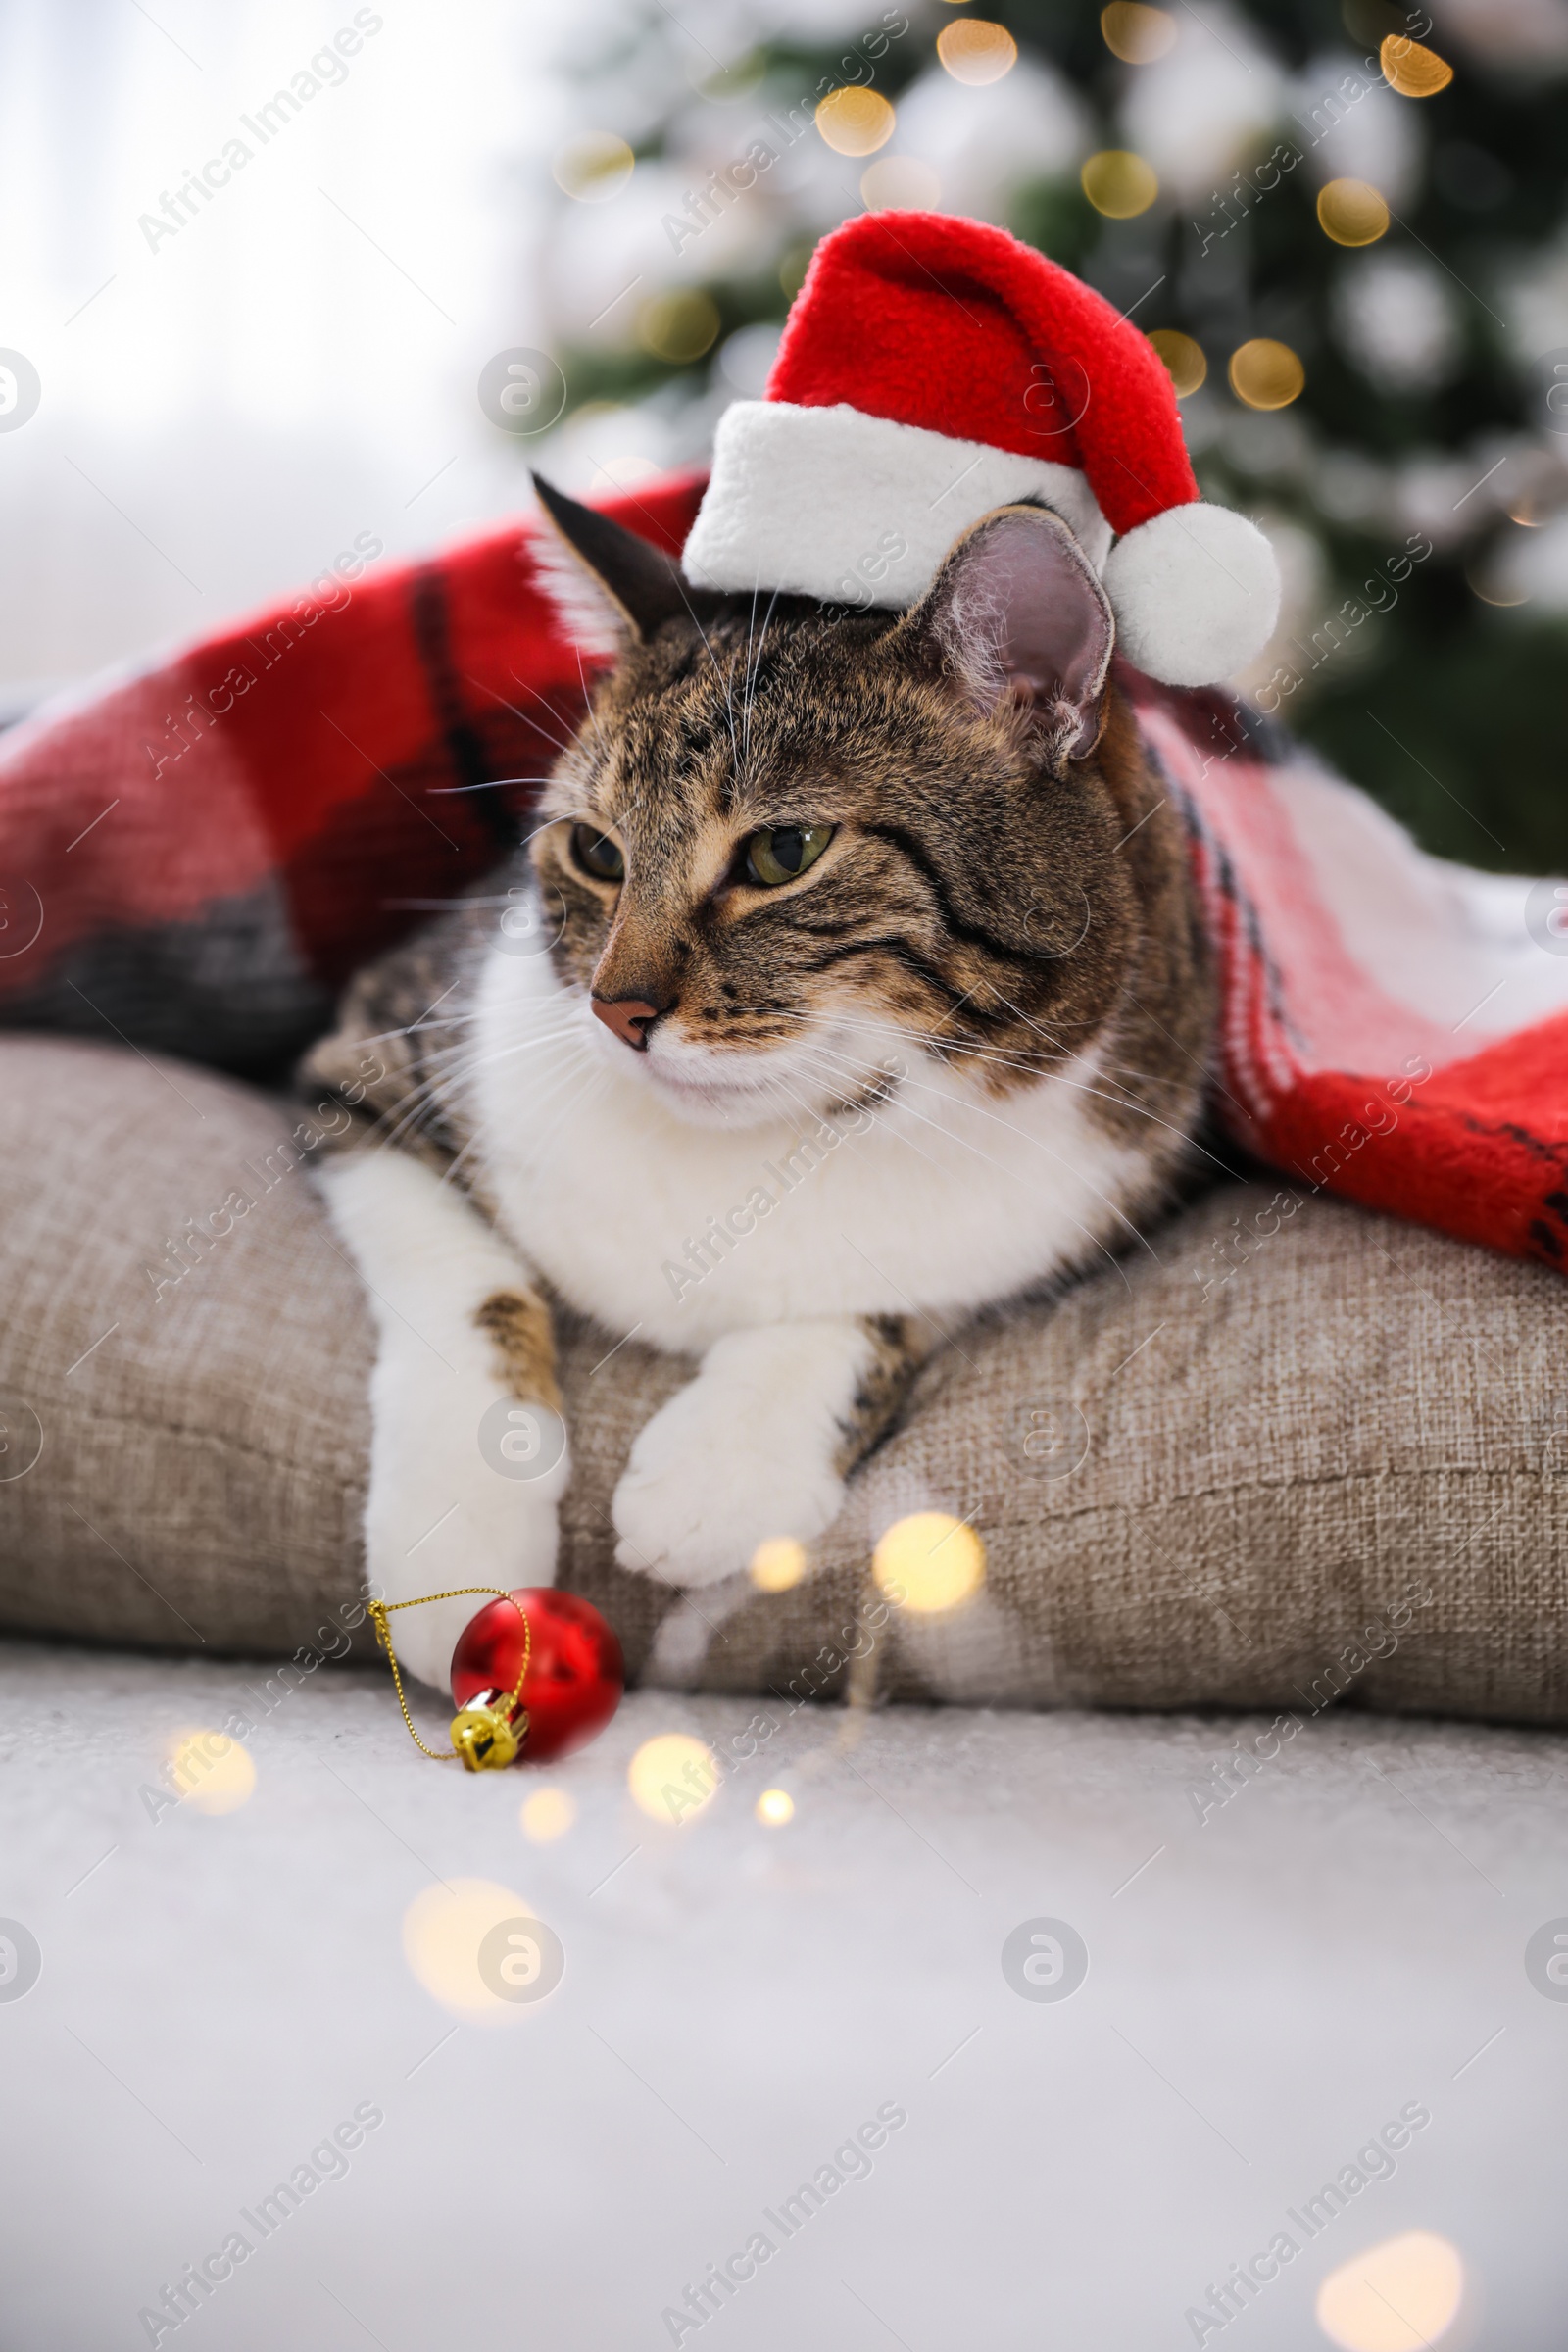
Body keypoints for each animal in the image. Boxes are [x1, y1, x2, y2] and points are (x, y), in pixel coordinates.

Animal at [301, 482, 1222, 1693]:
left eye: (786, 852)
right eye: (595, 852)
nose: (615, 1011)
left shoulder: (1118, 1155)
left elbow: (894, 1302)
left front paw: (723, 1466)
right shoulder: (371, 1047)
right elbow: (461, 1272)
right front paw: (458, 1550)